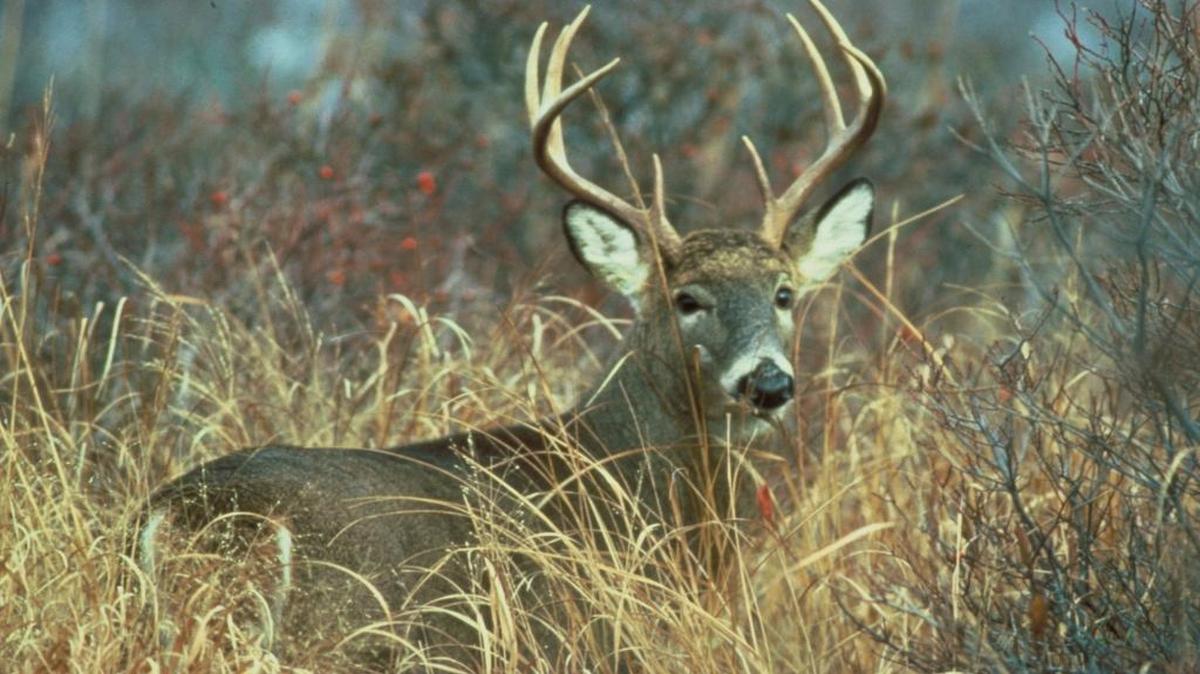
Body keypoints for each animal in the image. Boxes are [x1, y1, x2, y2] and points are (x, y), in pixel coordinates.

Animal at [137, 1, 884, 669]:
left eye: (784, 293)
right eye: (686, 299)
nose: (768, 383)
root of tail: (190, 516)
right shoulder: (585, 640)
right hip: (339, 635)